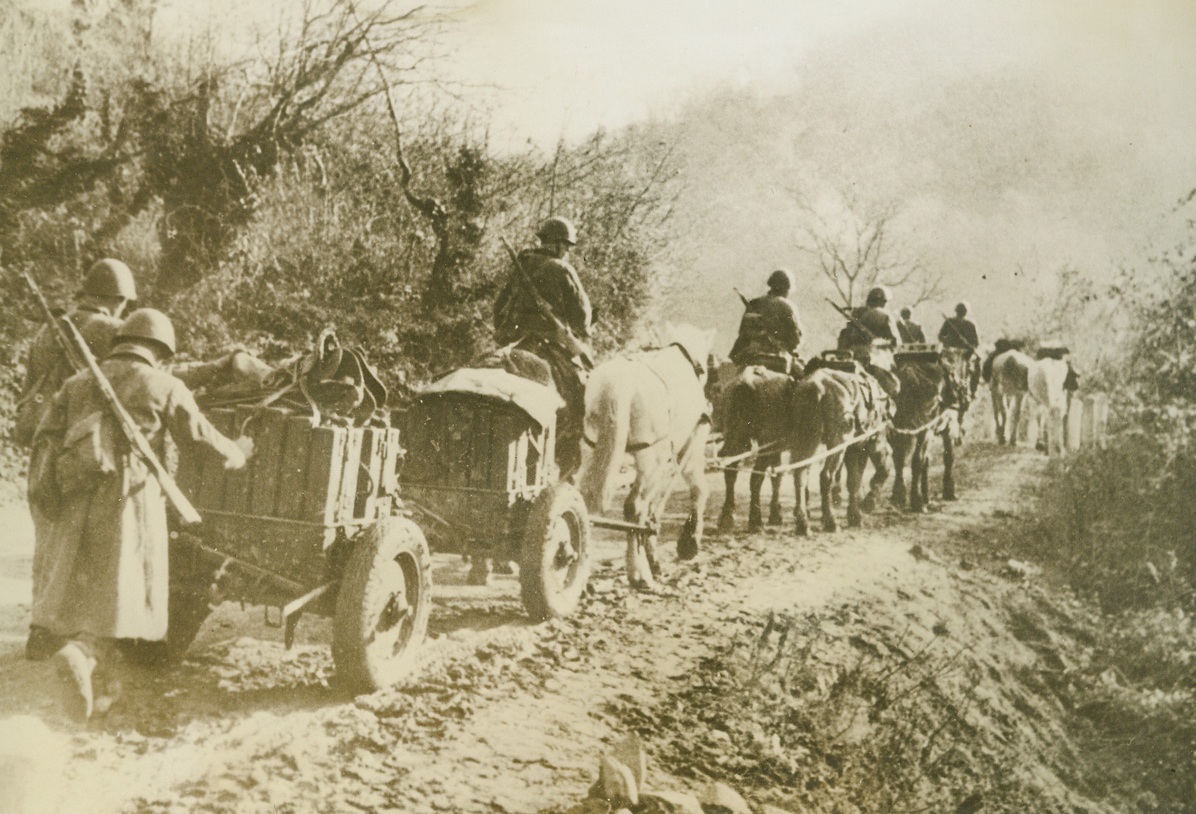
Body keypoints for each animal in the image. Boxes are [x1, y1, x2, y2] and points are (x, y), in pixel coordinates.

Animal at [581, 322, 717, 590]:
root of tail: (618, 385)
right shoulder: (688, 450)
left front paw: (654, 554)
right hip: (651, 457)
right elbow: (697, 490)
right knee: (634, 508)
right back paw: (638, 574)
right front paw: (689, 541)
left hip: (590, 450)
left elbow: (654, 507)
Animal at [789, 365, 894, 533]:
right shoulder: (864, 445)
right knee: (825, 475)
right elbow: (857, 480)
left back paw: (803, 523)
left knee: (800, 473)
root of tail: (816, 387)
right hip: (838, 442)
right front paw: (862, 509)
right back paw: (831, 521)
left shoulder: (854, 448)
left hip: (806, 439)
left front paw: (854, 515)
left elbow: (853, 480)